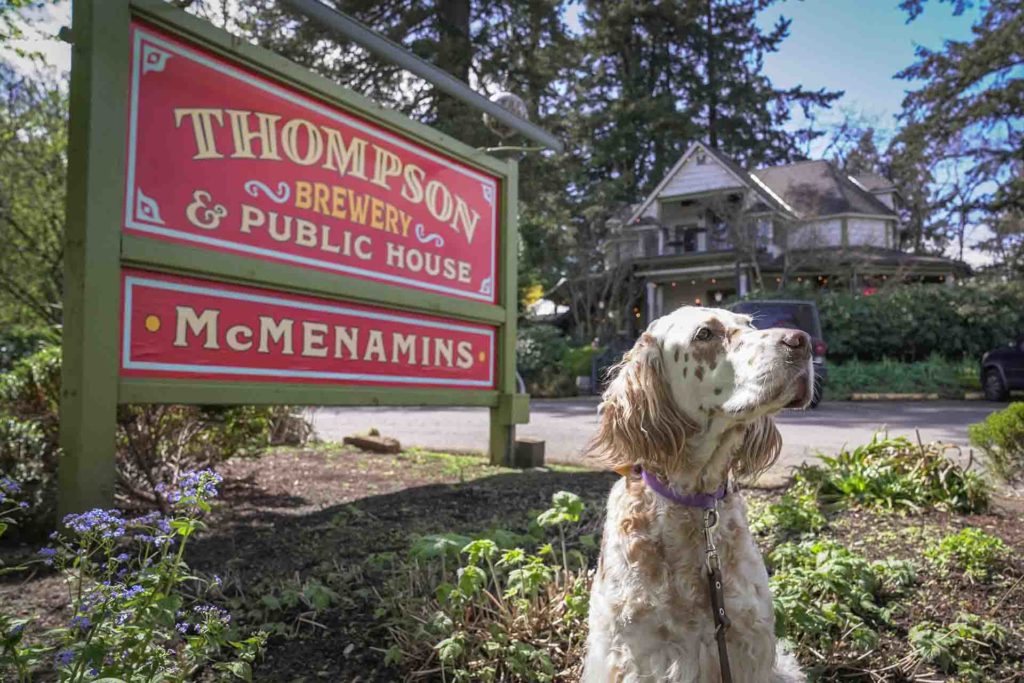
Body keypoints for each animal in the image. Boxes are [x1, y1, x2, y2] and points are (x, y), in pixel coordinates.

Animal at [581, 307, 811, 679]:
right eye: (705, 334)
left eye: (750, 325)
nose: (801, 341)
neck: (695, 507)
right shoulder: (636, 655)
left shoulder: (747, 644)